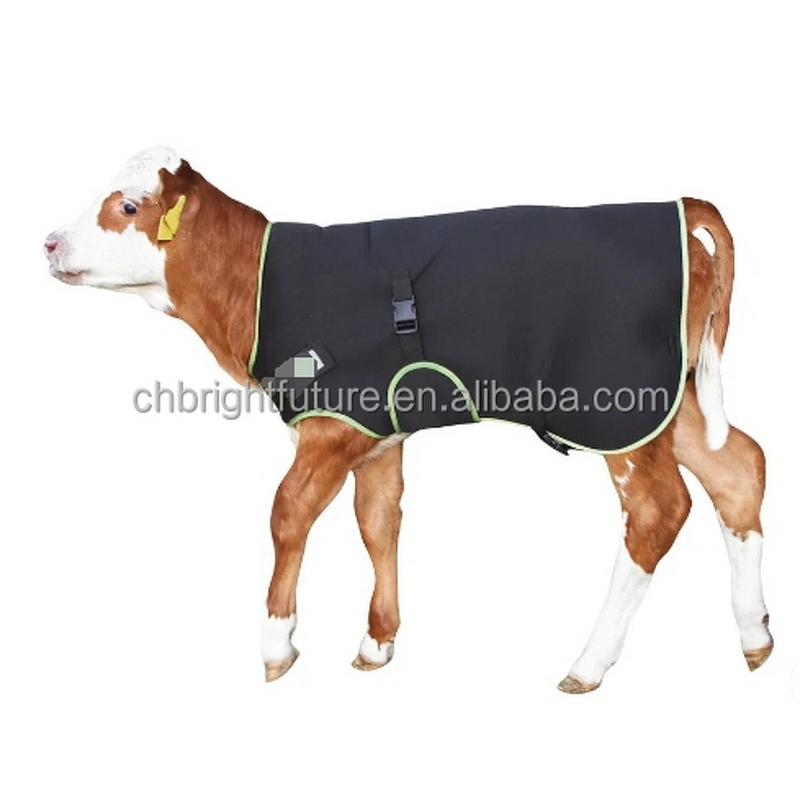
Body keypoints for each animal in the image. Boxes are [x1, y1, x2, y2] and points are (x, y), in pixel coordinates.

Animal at [44, 146, 772, 692]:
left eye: (128, 206)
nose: (49, 242)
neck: (254, 287)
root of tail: (678, 208)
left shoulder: (336, 420)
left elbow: (288, 512)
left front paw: (277, 643)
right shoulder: (379, 430)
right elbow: (379, 519)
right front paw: (377, 639)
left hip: (614, 406)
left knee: (659, 508)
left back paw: (589, 663)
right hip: (673, 400)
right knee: (740, 468)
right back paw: (755, 633)